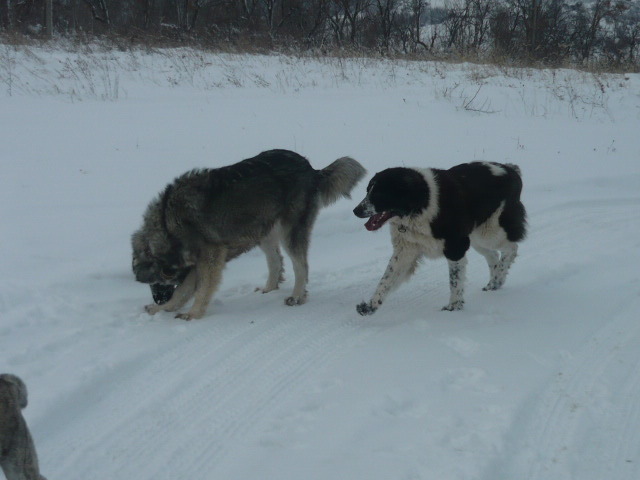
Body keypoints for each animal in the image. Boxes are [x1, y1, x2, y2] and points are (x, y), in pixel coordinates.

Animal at [132, 149, 364, 322]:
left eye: (157, 282)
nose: (158, 300)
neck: (167, 220)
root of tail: (311, 169)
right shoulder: (199, 262)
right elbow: (183, 290)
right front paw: (163, 309)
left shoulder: (210, 256)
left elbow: (199, 288)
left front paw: (192, 313)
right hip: (264, 231)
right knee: (276, 261)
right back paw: (269, 288)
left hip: (289, 232)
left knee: (301, 266)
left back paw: (296, 296)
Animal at [352, 163, 528, 316]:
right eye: (367, 191)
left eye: (378, 194)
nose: (356, 210)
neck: (420, 203)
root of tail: (510, 169)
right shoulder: (405, 251)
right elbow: (386, 280)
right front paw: (370, 306)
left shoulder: (455, 247)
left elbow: (455, 280)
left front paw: (453, 307)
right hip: (476, 238)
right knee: (493, 255)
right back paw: (494, 283)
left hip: (489, 232)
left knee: (511, 249)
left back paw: (498, 278)